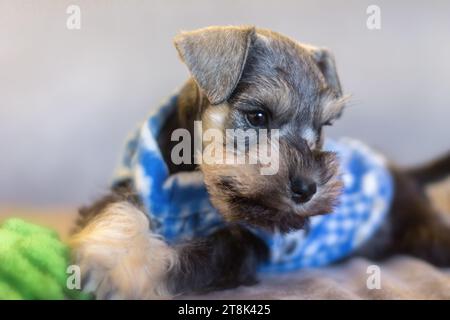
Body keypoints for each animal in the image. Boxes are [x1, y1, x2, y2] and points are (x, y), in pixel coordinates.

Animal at [69, 26, 450, 298]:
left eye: (322, 128)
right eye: (258, 116)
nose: (307, 188)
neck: (190, 181)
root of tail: (403, 173)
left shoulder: (239, 247)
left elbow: (184, 257)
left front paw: (125, 276)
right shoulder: (131, 186)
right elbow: (120, 211)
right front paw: (107, 263)